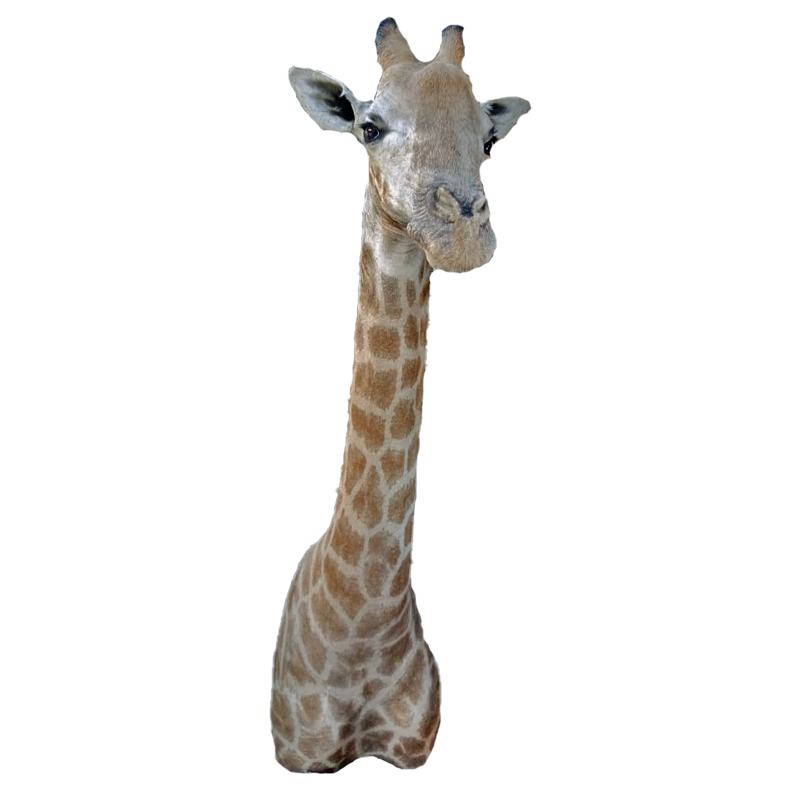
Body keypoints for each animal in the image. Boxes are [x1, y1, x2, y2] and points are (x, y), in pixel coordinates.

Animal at [271, 21, 530, 774]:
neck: (365, 621)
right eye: (370, 125)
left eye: (489, 137)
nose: (464, 231)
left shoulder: (413, 747)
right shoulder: (295, 751)